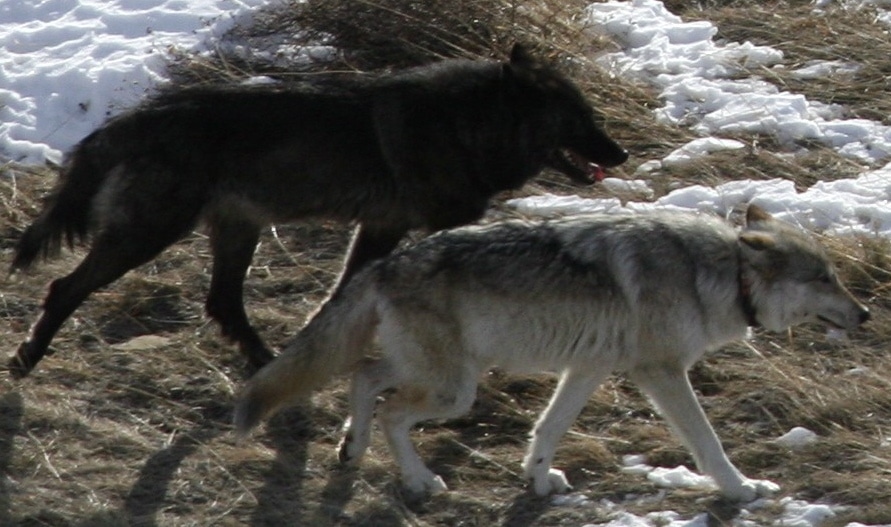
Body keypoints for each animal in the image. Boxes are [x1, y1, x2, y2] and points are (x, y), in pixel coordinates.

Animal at [6, 44, 629, 379]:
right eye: (578, 118)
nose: (621, 154)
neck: (468, 125)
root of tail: (131, 119)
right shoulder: (439, 226)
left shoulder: (380, 228)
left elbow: (340, 295)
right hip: (149, 234)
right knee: (65, 287)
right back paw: (28, 356)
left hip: (238, 232)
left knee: (223, 303)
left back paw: (266, 363)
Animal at [233, 205, 869, 502]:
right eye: (825, 278)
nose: (865, 314)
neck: (715, 275)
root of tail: (385, 264)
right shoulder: (660, 372)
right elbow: (709, 442)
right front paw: (741, 489)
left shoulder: (587, 368)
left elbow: (548, 428)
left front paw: (539, 480)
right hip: (456, 389)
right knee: (389, 408)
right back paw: (419, 481)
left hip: (445, 372)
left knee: (364, 378)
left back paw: (352, 449)